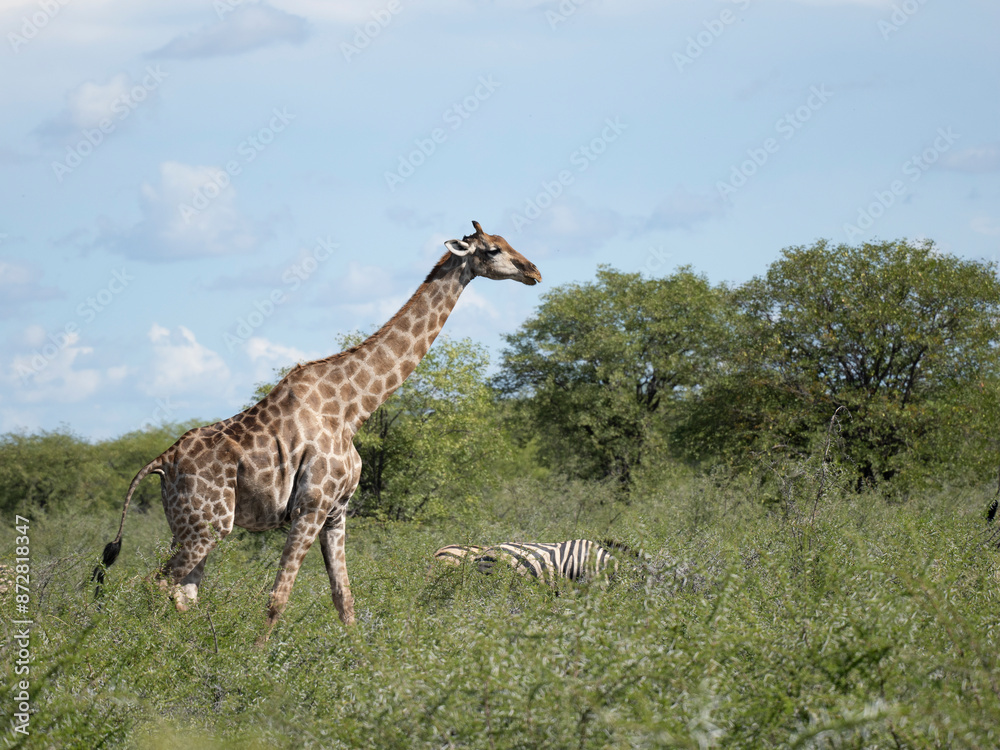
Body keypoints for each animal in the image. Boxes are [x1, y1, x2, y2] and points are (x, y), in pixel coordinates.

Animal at [93, 221, 541, 639]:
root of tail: (162, 461)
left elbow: (344, 597)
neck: (353, 408)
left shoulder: (337, 511)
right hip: (208, 526)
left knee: (182, 593)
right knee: (152, 583)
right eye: (493, 249)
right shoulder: (311, 505)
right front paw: (255, 661)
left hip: (190, 526)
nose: (533, 270)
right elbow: (278, 596)